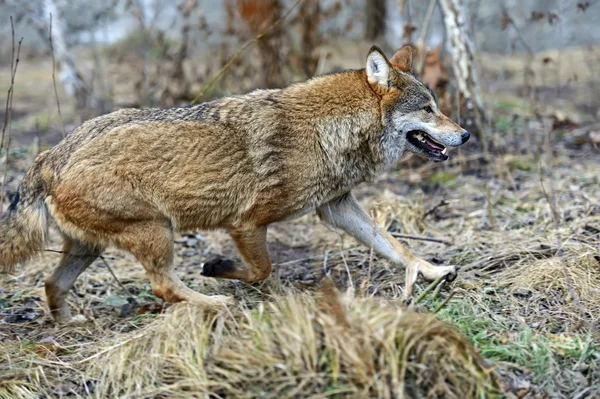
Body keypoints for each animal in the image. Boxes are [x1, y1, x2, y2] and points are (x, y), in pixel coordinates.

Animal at [0, 46, 468, 322]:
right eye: (428, 109)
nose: (464, 135)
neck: (328, 131)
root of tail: (50, 157)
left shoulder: (336, 207)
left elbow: (395, 245)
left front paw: (431, 270)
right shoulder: (246, 224)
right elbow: (262, 270)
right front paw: (220, 269)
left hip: (90, 248)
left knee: (52, 285)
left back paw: (68, 325)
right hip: (157, 232)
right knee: (162, 286)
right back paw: (216, 303)